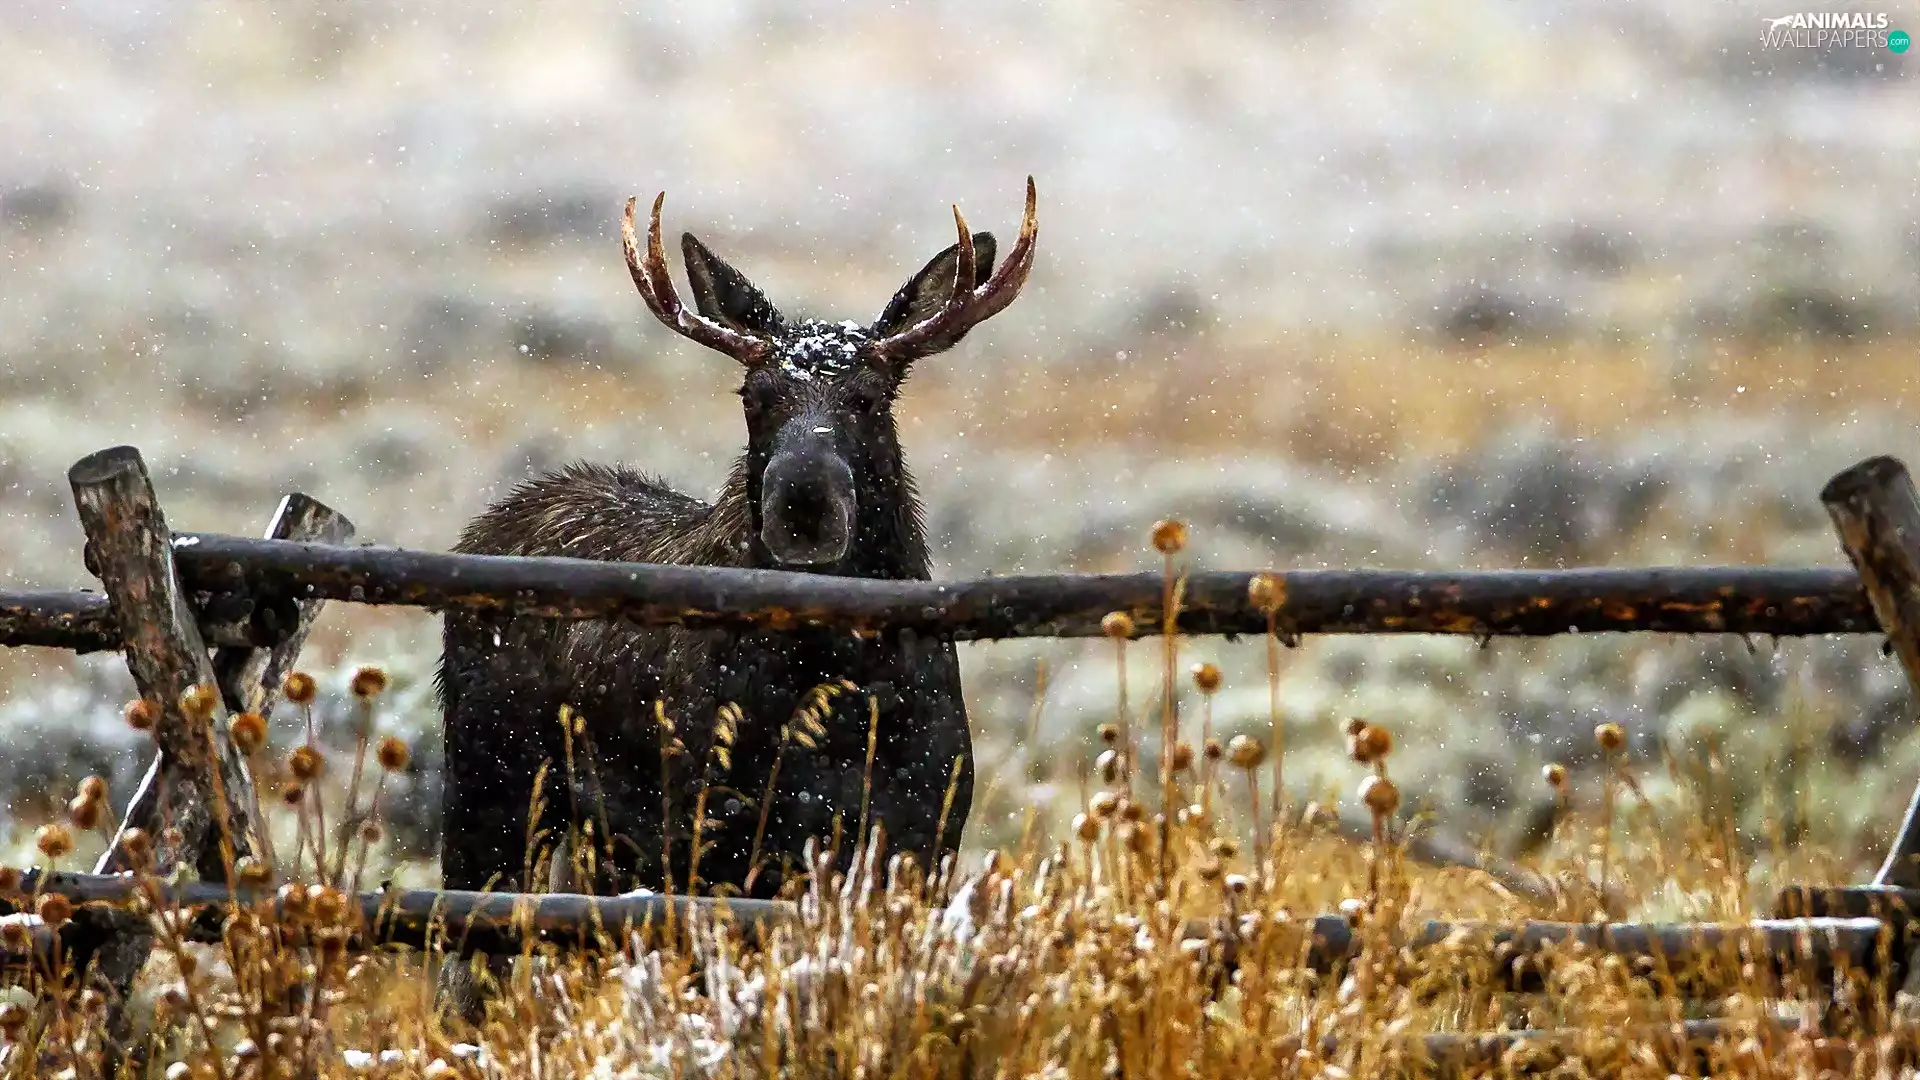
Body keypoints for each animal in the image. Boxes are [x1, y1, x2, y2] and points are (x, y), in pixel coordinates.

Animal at [432, 178, 1038, 1018]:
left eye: (868, 397)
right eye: (756, 396)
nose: (803, 498)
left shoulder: (922, 836)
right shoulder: (708, 833)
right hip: (494, 781)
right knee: (467, 962)